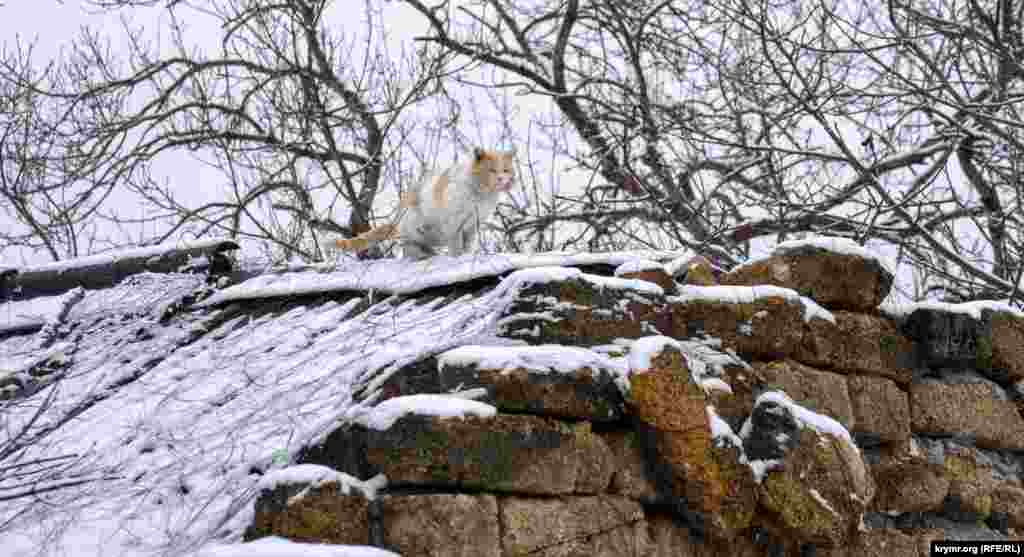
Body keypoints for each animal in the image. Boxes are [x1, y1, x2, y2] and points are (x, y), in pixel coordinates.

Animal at [335, 147, 516, 261]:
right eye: (492, 170)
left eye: (505, 170)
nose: (501, 179)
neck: (481, 194)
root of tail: (396, 220)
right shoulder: (455, 225)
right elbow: (457, 247)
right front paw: (458, 258)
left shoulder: (472, 226)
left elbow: (468, 246)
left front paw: (467, 256)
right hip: (415, 228)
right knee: (409, 249)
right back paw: (424, 255)